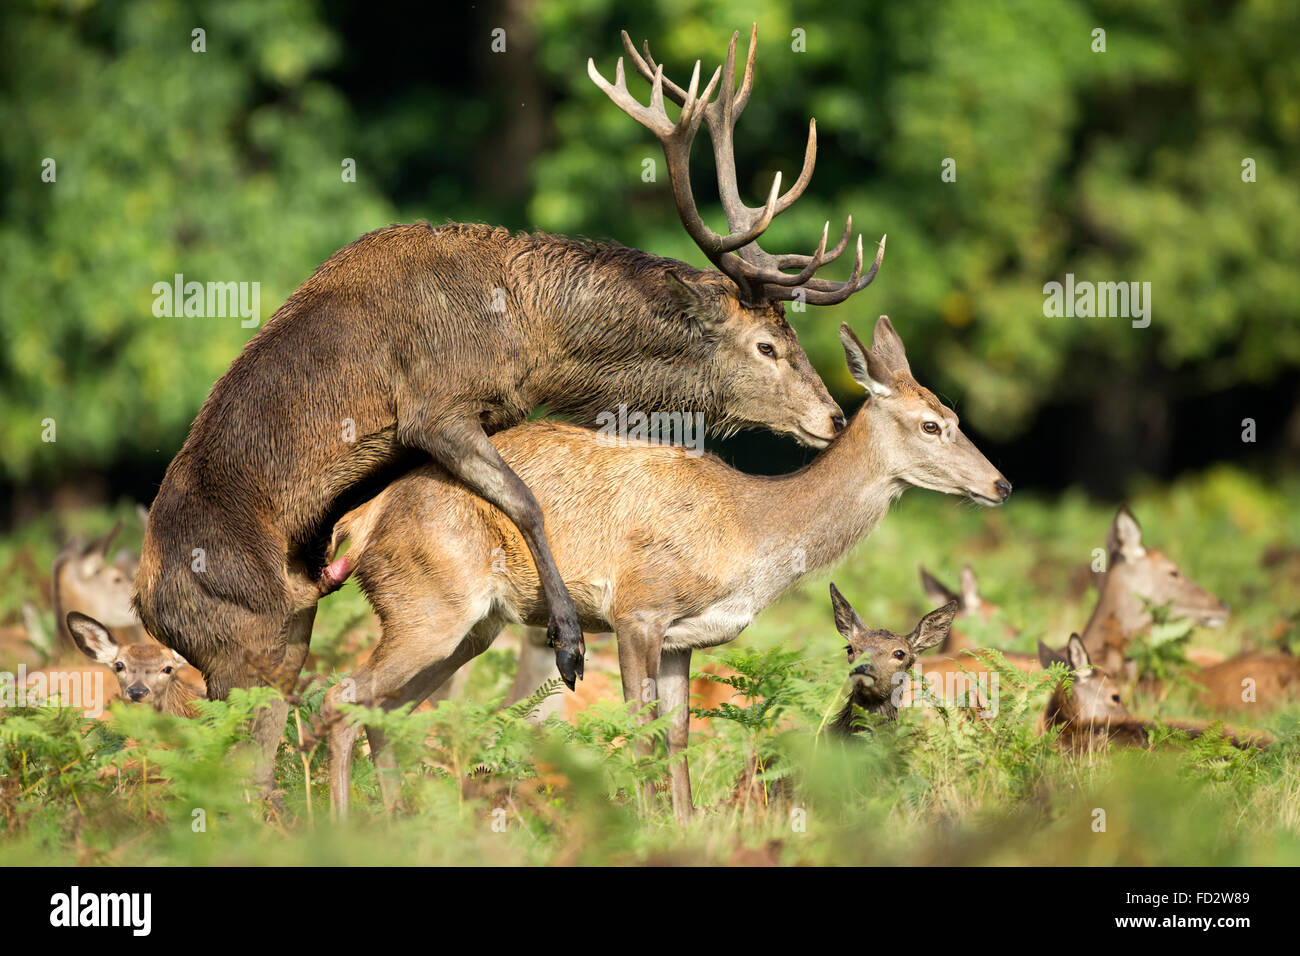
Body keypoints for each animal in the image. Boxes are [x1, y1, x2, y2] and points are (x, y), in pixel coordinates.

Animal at [134, 24, 883, 790]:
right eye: (768, 345)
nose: (832, 417)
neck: (529, 333)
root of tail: (145, 603)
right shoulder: (435, 407)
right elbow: (526, 501)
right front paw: (568, 642)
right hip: (244, 641)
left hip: (289, 633)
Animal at [319, 316, 1008, 822]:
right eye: (931, 424)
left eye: (954, 417)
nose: (1001, 484)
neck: (750, 532)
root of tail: (364, 518)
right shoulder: (639, 609)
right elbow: (640, 730)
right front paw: (647, 826)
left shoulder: (684, 638)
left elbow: (677, 736)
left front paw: (683, 823)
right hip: (428, 601)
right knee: (342, 694)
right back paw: (342, 825)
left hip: (471, 626)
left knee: (384, 710)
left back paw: (394, 821)